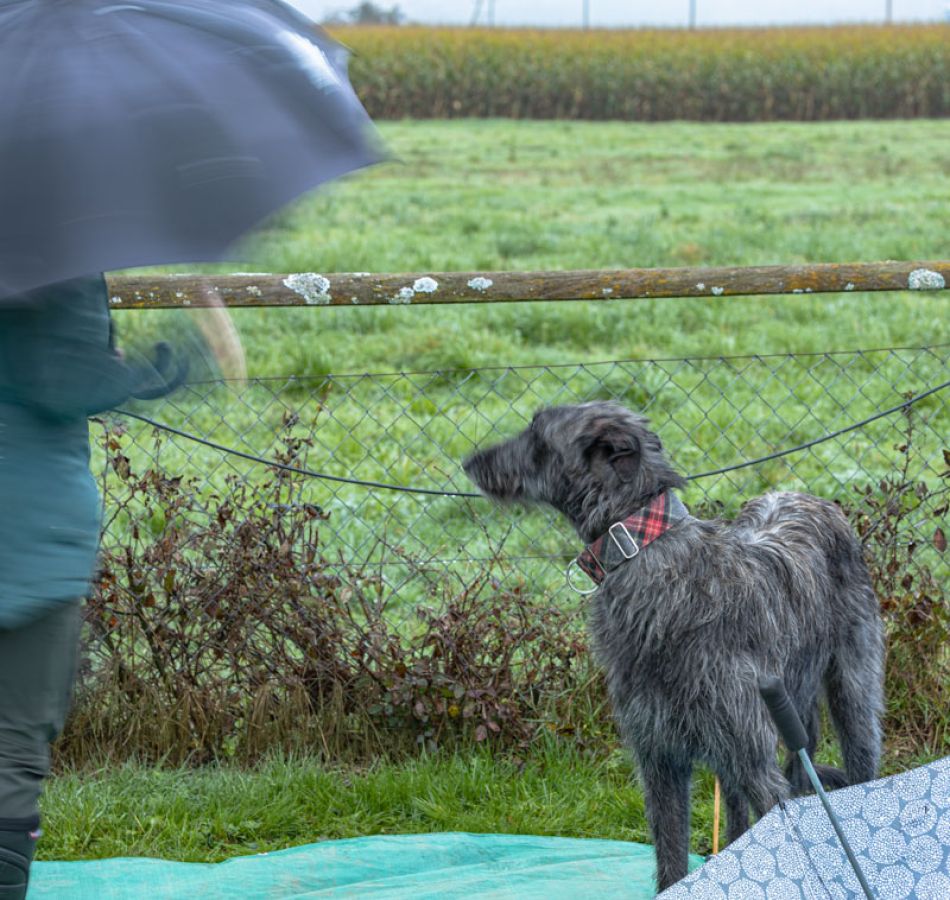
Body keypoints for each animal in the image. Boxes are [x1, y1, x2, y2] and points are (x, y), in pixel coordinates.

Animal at [463, 401, 884, 893]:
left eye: (536, 435)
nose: (469, 462)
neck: (646, 555)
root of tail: (807, 497)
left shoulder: (755, 762)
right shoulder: (659, 758)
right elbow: (670, 862)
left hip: (850, 696)